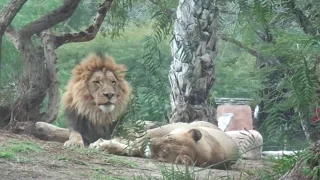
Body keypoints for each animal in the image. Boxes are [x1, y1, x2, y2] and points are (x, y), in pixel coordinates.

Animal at [89, 121, 239, 169]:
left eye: (164, 151)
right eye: (168, 138)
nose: (151, 143)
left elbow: (132, 148)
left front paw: (103, 146)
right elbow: (132, 144)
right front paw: (101, 144)